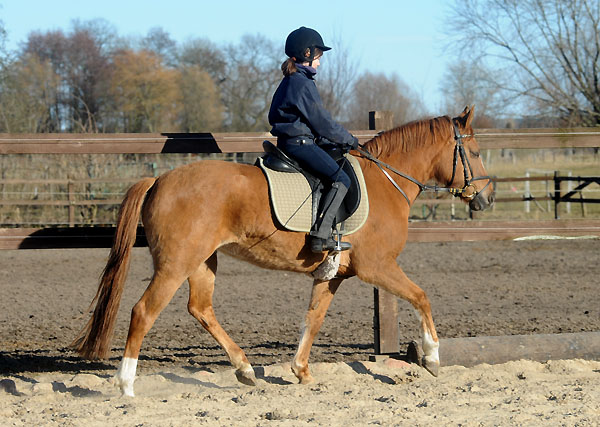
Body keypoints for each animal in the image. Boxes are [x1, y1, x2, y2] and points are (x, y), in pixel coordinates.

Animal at [74, 106, 492, 398]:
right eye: (473, 151)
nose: (486, 198)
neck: (386, 181)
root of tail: (159, 178)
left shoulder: (334, 275)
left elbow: (313, 318)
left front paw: (301, 371)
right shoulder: (378, 267)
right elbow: (422, 297)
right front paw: (433, 357)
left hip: (202, 261)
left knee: (201, 309)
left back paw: (244, 370)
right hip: (176, 264)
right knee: (144, 311)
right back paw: (127, 385)